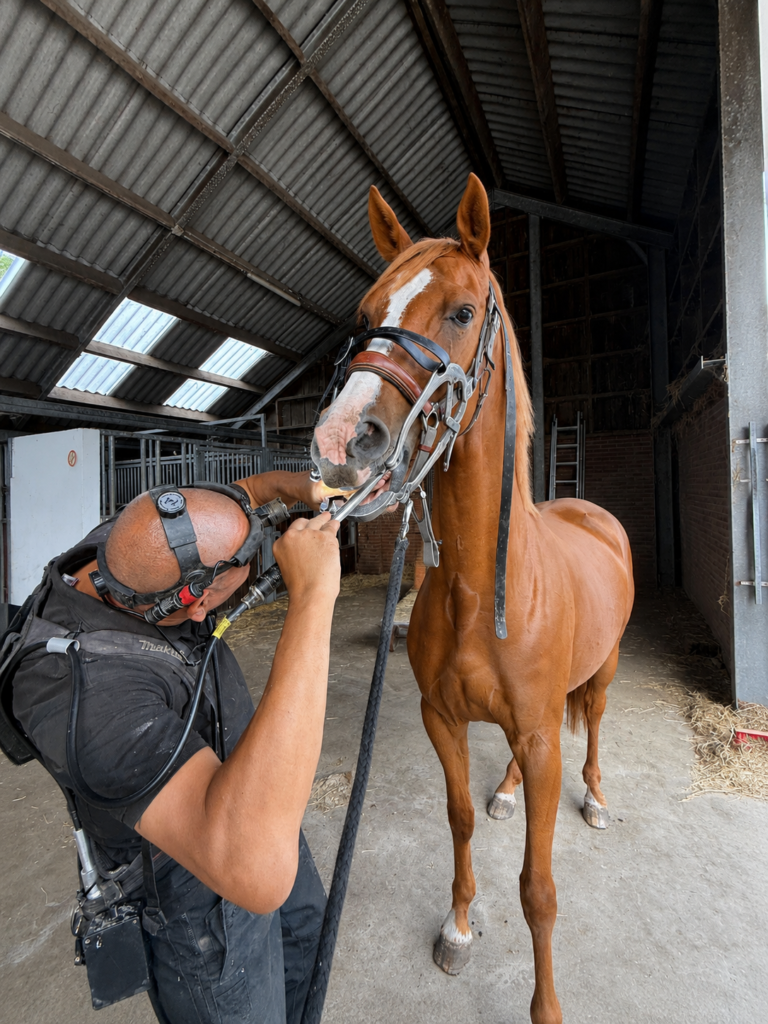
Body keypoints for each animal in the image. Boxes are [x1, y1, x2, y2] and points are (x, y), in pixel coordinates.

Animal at [312, 173, 634, 1024]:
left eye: (460, 312)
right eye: (369, 316)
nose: (339, 441)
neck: (485, 589)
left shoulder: (544, 737)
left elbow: (539, 889)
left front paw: (546, 1007)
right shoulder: (443, 719)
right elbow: (456, 821)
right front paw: (458, 925)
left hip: (603, 673)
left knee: (592, 726)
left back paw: (595, 797)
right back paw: (509, 794)